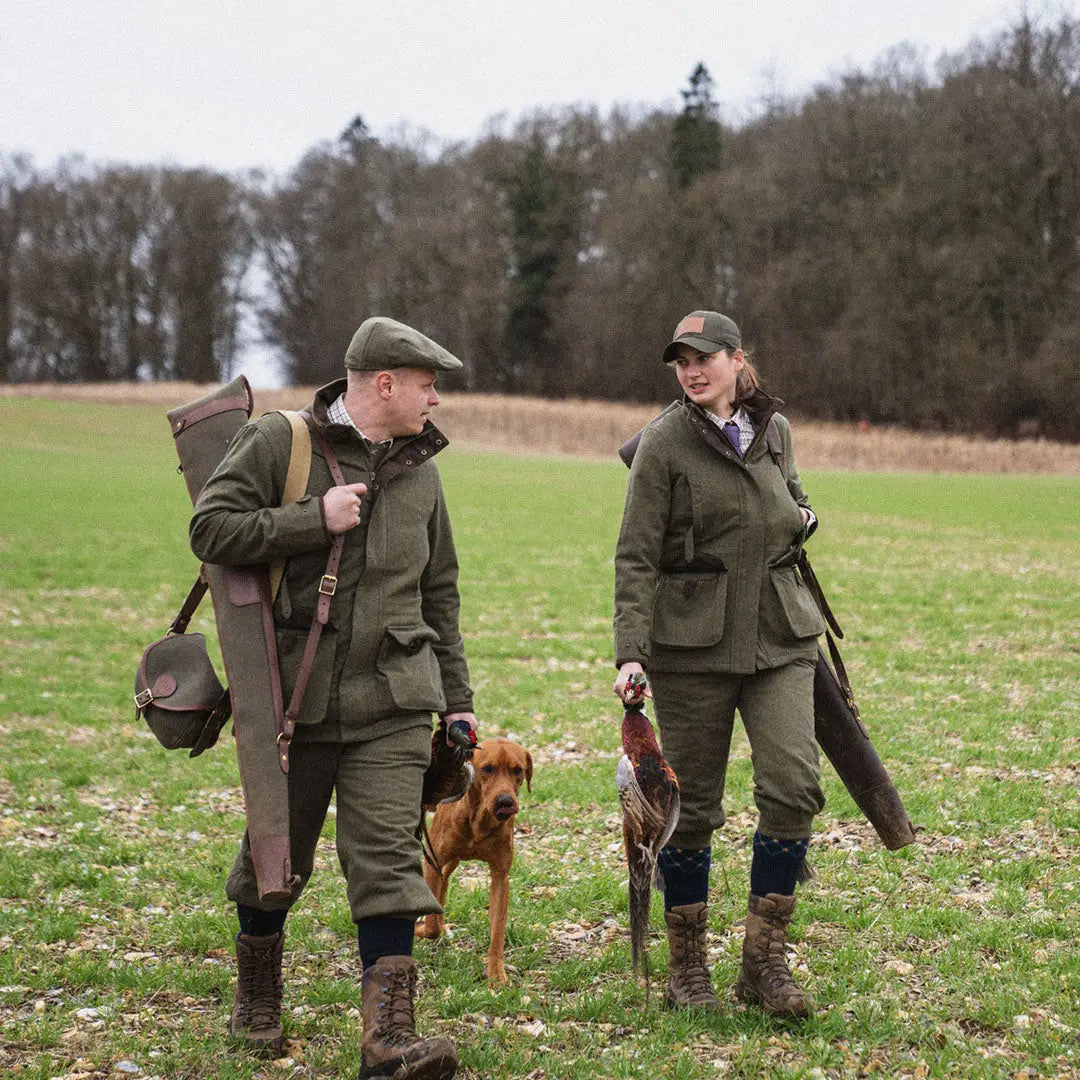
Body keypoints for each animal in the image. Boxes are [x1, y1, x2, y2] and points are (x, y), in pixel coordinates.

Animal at [412, 738, 531, 984]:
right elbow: (431, 926)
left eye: (518, 770)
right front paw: (424, 928)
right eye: (488, 769)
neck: (480, 822)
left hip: (452, 862)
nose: (506, 801)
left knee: (445, 881)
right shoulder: (432, 862)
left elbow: (498, 931)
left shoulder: (500, 877)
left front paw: (496, 973)